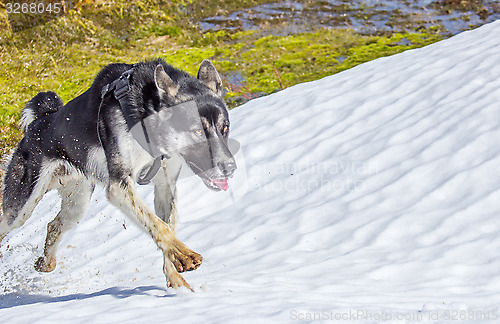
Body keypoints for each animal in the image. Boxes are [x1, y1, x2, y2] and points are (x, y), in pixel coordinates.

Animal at [0, 58, 236, 292]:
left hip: (77, 205)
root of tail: (38, 124)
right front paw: (183, 254)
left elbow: (168, 227)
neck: (147, 116)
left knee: (53, 226)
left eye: (224, 128)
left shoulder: (165, 187)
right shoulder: (119, 186)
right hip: (21, 208)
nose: (230, 167)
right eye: (196, 131)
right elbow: (157, 224)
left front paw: (176, 279)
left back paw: (46, 262)